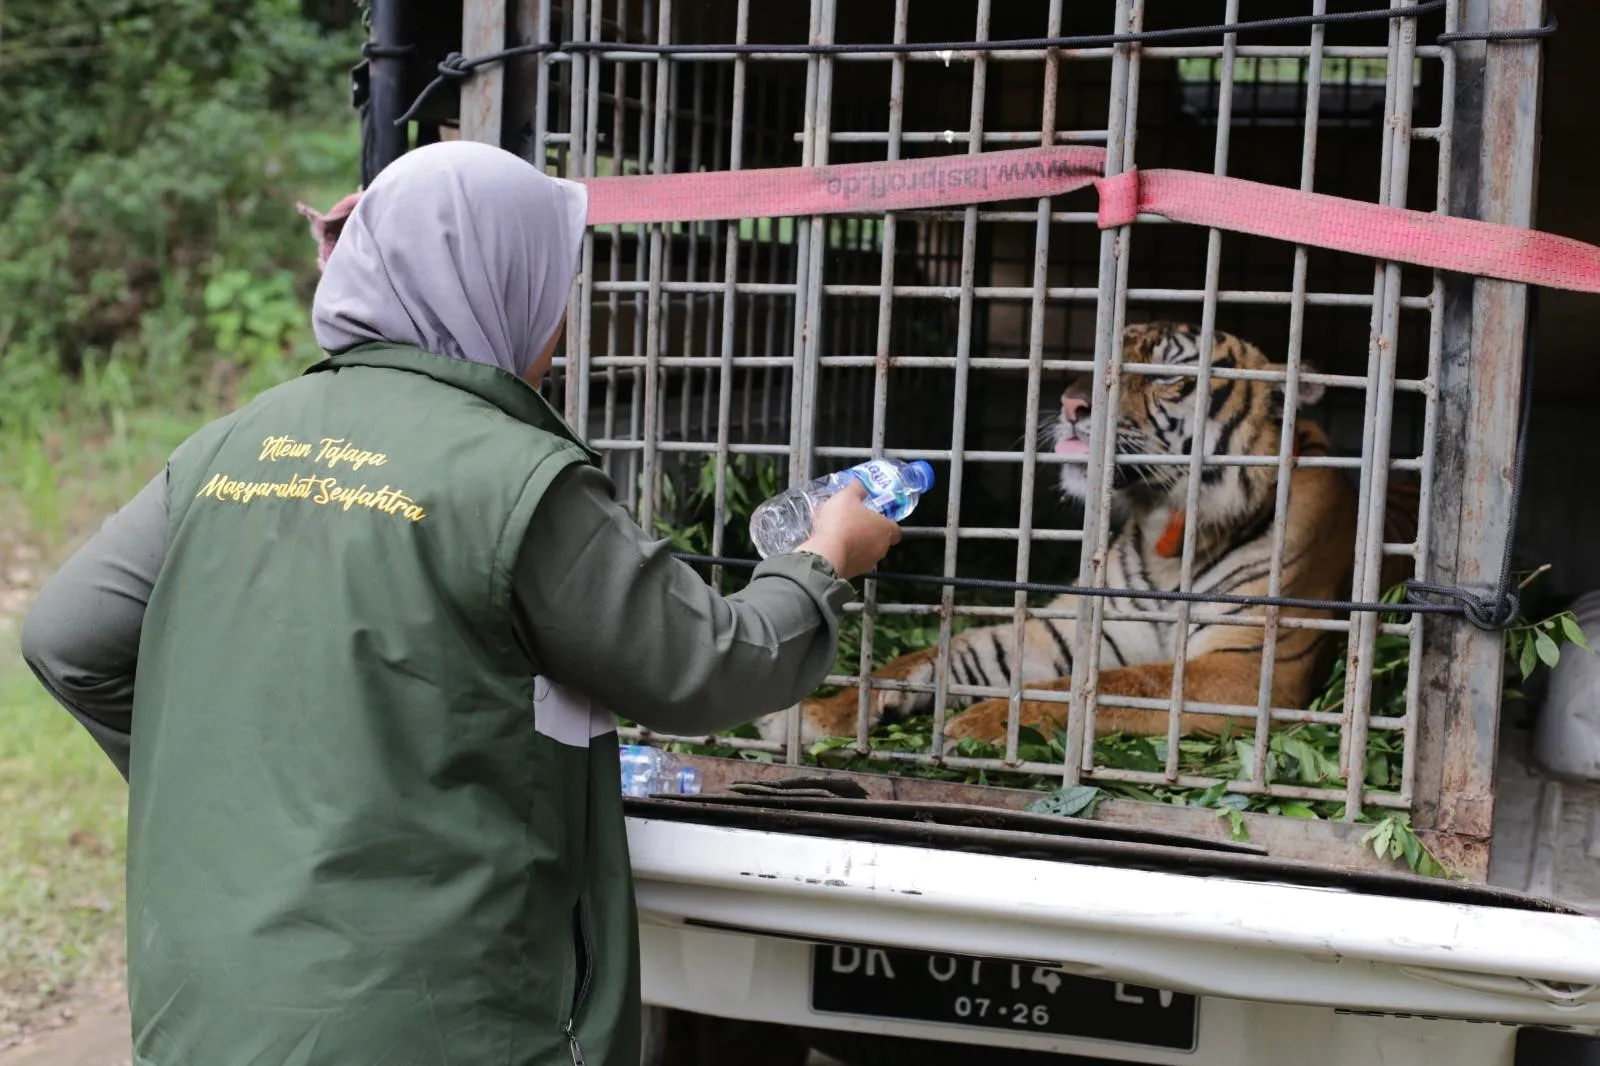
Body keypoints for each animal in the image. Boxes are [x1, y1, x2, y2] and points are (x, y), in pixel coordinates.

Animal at [755, 321, 1420, 745]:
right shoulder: (1071, 628)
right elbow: (934, 655)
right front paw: (816, 714)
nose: (1074, 403)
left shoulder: (1247, 668)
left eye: (1165, 373)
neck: (1167, 528)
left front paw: (977, 724)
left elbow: (1109, 686)